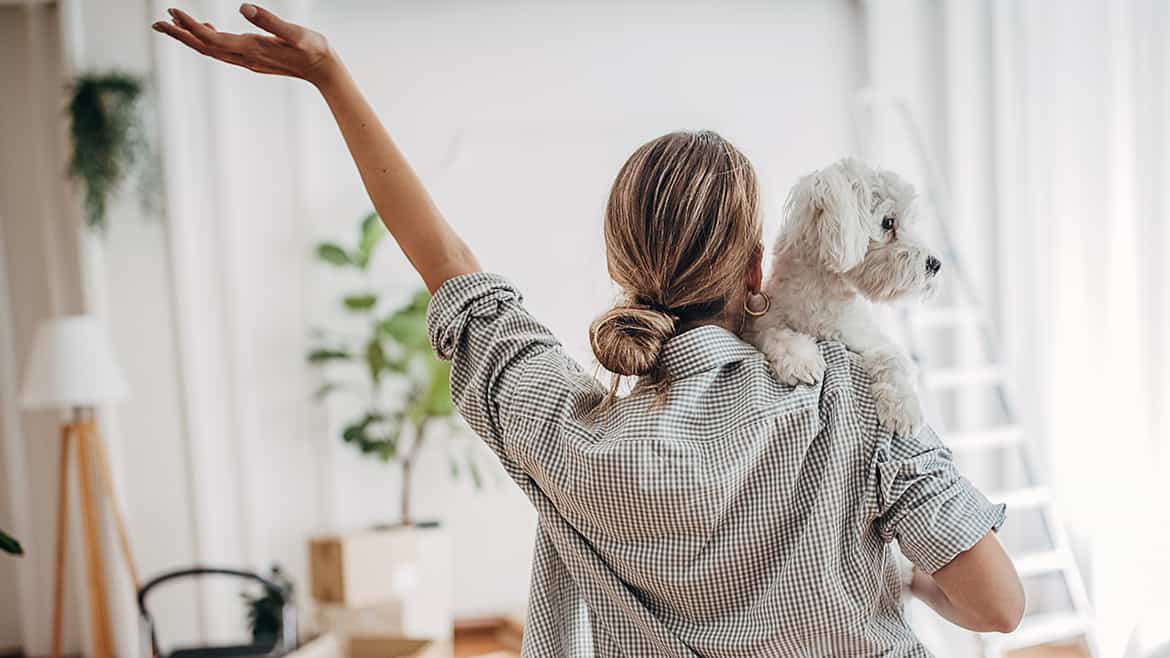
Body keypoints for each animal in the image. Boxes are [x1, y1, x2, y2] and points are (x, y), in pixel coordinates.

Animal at [748, 158, 940, 435]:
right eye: (888, 222)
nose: (935, 264)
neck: (824, 301)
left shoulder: (869, 339)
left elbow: (893, 359)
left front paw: (903, 410)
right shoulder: (762, 322)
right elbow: (775, 332)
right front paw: (800, 359)